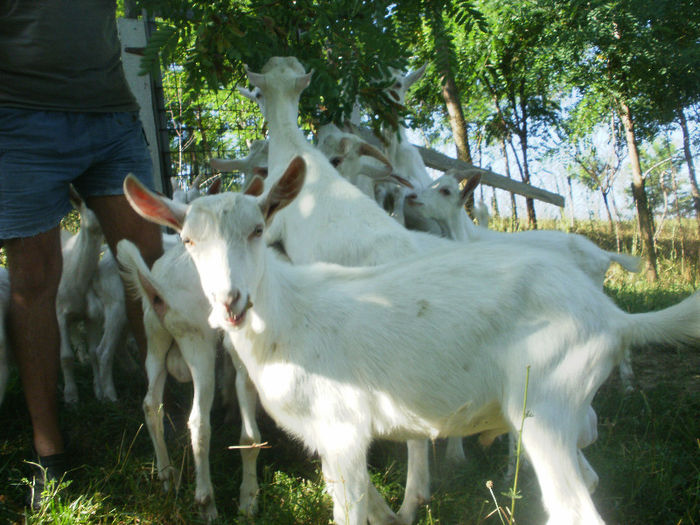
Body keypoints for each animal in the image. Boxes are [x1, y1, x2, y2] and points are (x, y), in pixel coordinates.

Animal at [119, 161, 700, 524]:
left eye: (259, 230)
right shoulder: (329, 441)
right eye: (188, 240)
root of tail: (613, 318)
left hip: (547, 401)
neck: (291, 315)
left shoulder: (344, 427)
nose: (230, 301)